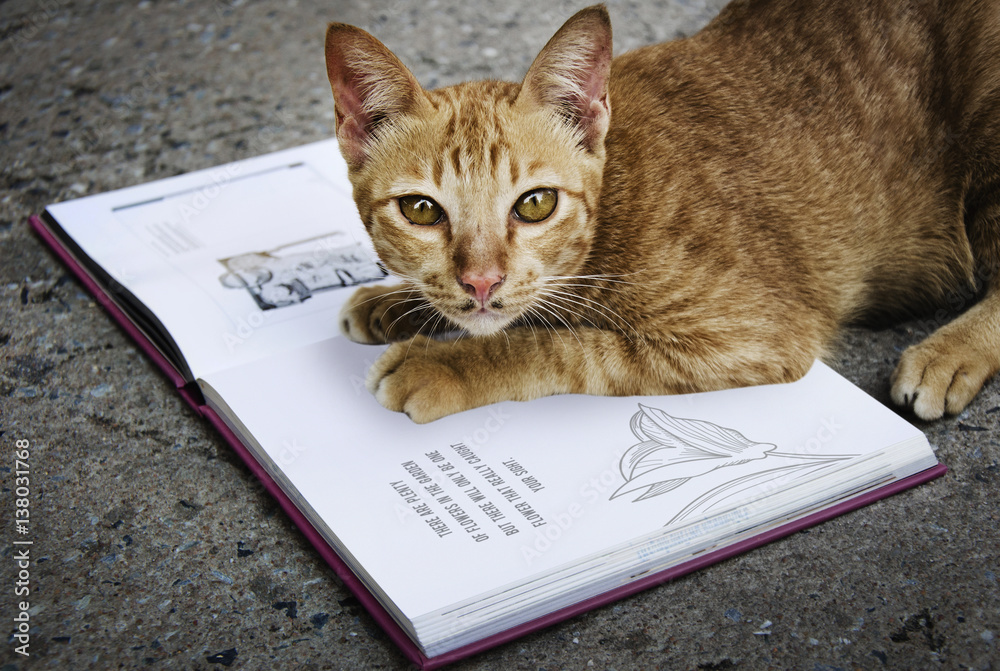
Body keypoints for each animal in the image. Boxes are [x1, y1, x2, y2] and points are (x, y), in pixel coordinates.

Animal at [324, 0, 996, 422]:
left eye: (535, 204)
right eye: (420, 210)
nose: (482, 281)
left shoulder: (754, 334)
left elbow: (564, 346)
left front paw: (449, 363)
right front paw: (397, 302)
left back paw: (948, 354)